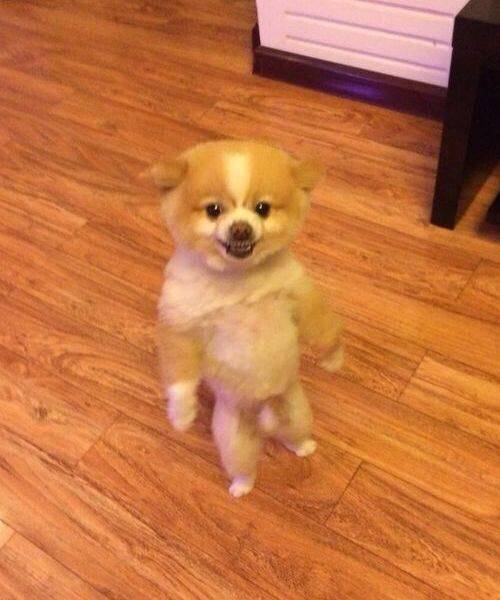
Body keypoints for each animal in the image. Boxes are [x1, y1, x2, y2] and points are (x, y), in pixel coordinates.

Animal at [147, 140, 343, 497]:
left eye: (262, 208)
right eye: (213, 210)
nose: (241, 227)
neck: (238, 280)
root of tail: (264, 407)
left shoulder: (297, 296)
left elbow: (322, 328)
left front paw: (334, 357)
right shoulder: (181, 322)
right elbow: (180, 373)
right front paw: (181, 412)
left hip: (295, 409)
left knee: (293, 433)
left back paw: (303, 446)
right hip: (233, 437)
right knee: (243, 464)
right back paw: (242, 485)